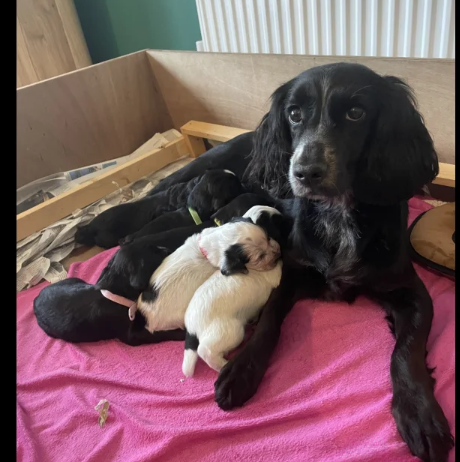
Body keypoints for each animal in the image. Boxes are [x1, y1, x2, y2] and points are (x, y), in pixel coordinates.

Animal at [33, 222, 215, 344]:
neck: (114, 290)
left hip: (74, 280)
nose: (167, 249)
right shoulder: (131, 336)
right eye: (154, 253)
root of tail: (35, 299)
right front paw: (180, 333)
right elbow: (156, 334)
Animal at [182, 208, 284, 378]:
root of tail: (192, 331)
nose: (278, 251)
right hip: (230, 332)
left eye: (269, 237)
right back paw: (223, 364)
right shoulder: (274, 274)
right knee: (205, 351)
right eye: (261, 256)